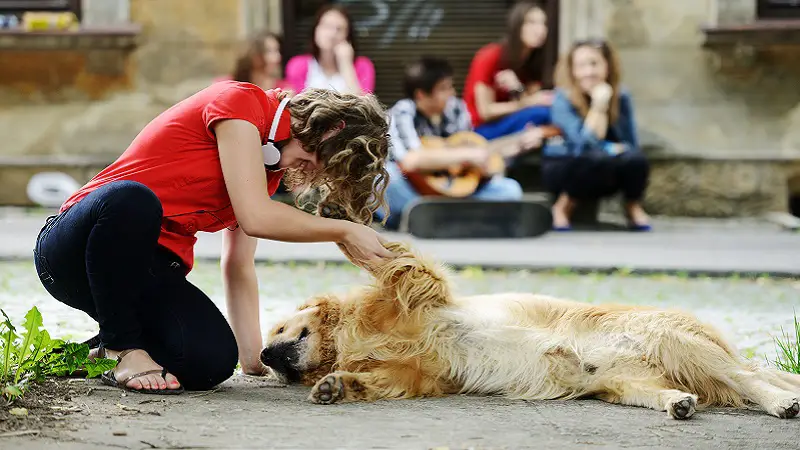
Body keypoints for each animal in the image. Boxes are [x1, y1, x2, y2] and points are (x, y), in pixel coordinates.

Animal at [260, 243, 800, 418]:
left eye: (281, 328)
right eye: (271, 348)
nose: (264, 357)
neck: (351, 337)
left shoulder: (423, 291)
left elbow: (397, 262)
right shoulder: (421, 375)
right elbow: (381, 379)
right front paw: (335, 386)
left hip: (676, 341)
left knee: (752, 380)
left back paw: (780, 402)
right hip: (626, 383)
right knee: (687, 391)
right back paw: (679, 403)